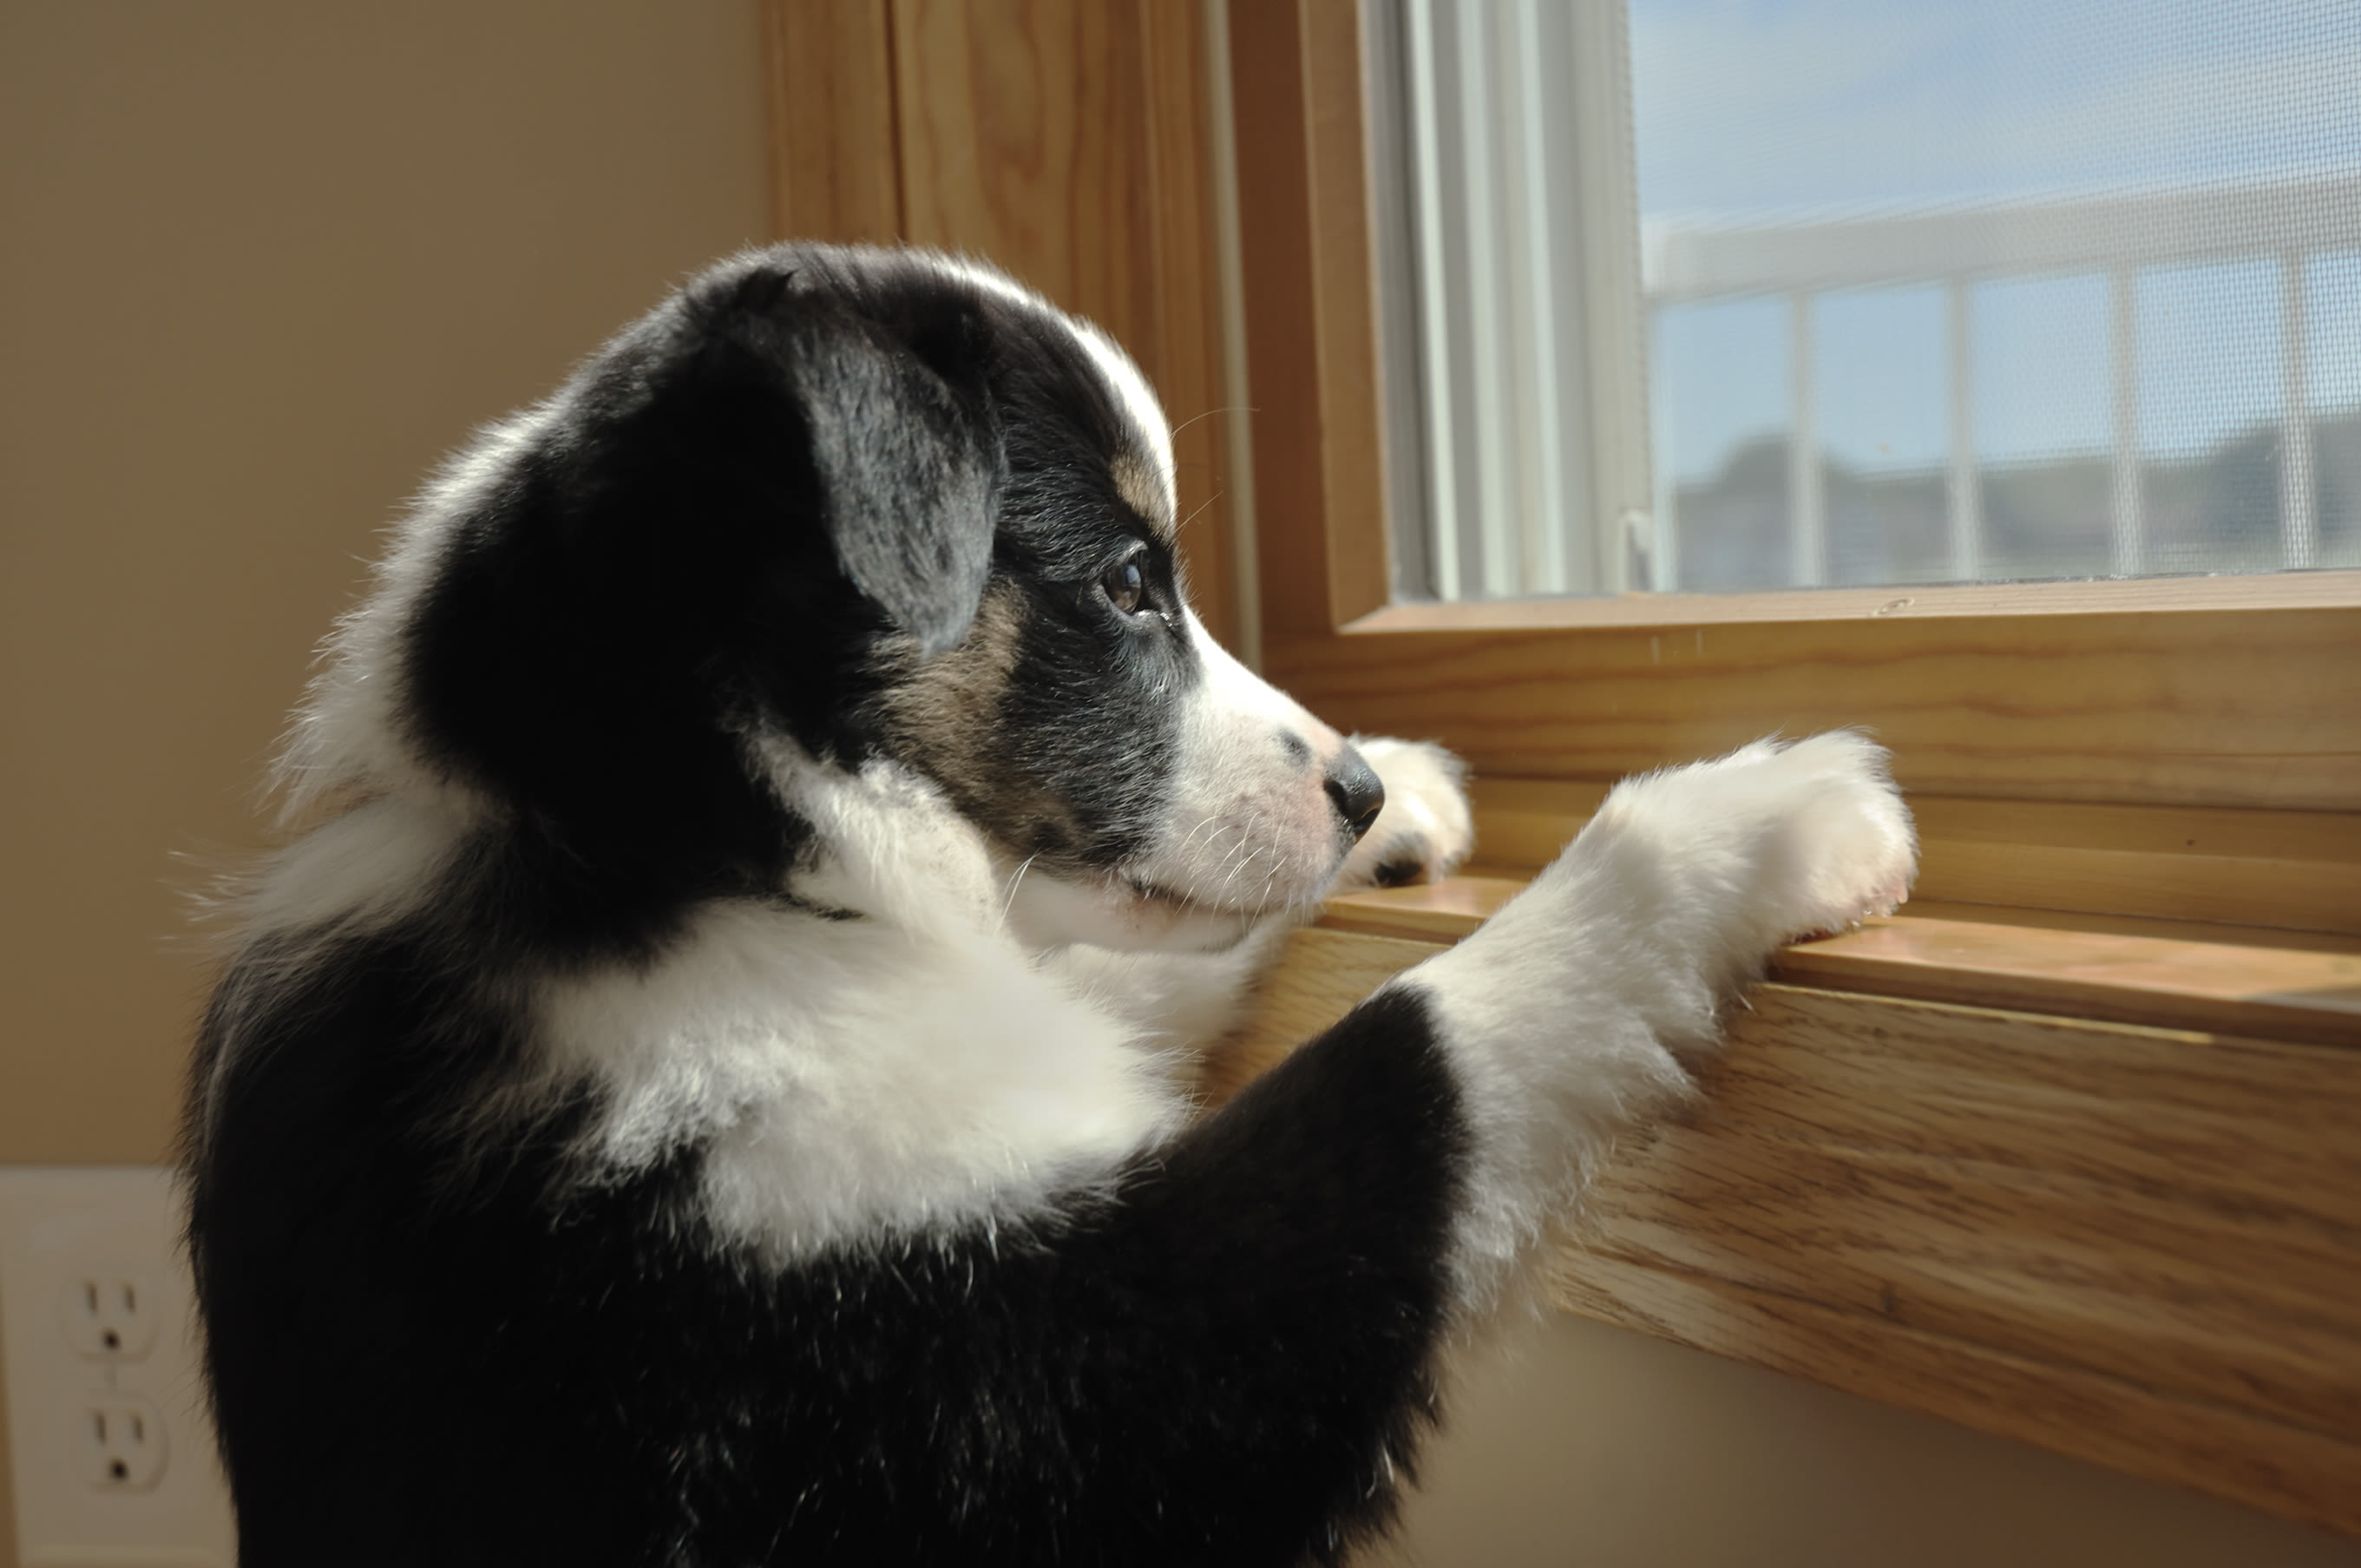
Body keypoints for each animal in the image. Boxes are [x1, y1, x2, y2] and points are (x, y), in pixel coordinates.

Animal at [188, 246, 1917, 1568]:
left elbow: (1136, 969)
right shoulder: (1030, 1377)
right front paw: (1765, 816)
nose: (1356, 785)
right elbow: (1423, 1047)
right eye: (1130, 583)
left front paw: (1414, 802)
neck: (703, 860)